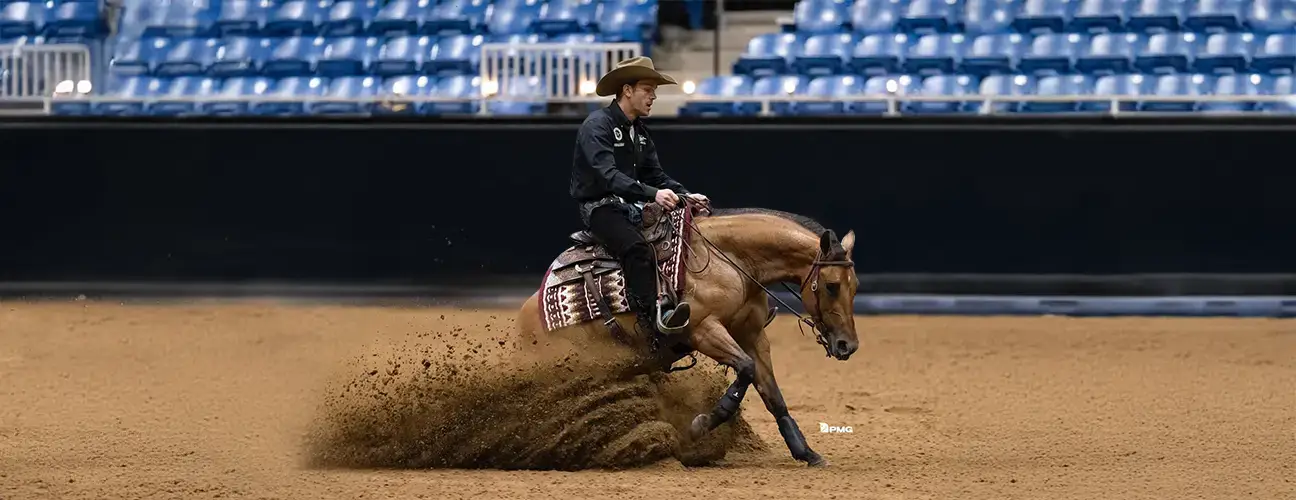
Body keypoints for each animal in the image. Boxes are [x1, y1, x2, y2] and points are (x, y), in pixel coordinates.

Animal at [515, 201, 860, 467]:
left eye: (855, 286)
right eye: (832, 286)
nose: (848, 345)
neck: (730, 259)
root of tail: (525, 320)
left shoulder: (752, 336)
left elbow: (772, 394)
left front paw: (806, 452)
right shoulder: (703, 330)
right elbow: (745, 369)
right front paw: (701, 424)